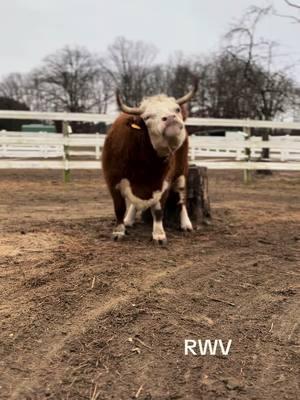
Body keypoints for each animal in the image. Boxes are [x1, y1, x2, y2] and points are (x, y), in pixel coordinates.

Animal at [102, 84, 198, 244]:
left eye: (176, 109)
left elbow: (158, 210)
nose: (170, 118)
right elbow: (119, 207)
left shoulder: (164, 182)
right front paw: (119, 230)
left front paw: (159, 234)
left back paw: (186, 223)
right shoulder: (113, 180)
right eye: (147, 117)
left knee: (181, 199)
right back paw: (129, 219)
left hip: (182, 171)